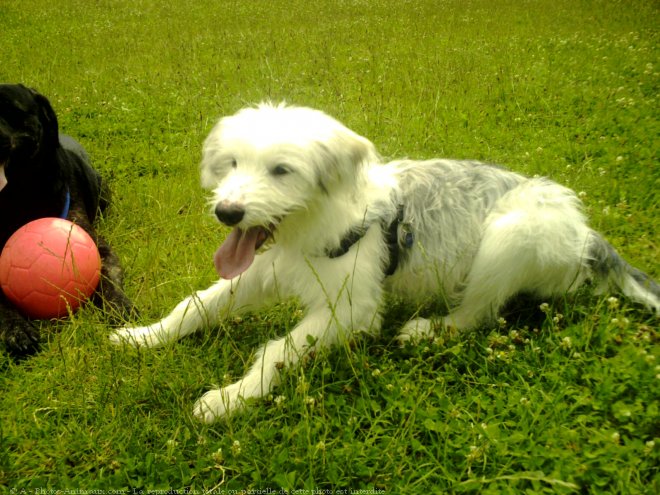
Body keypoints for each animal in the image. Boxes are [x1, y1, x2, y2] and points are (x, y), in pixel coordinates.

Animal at [109, 103, 660, 422]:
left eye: (282, 170)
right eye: (233, 163)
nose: (227, 212)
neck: (315, 223)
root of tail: (589, 236)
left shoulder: (353, 308)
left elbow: (277, 351)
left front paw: (231, 398)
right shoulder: (266, 270)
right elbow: (196, 305)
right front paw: (144, 336)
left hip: (511, 234)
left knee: (476, 315)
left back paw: (426, 330)